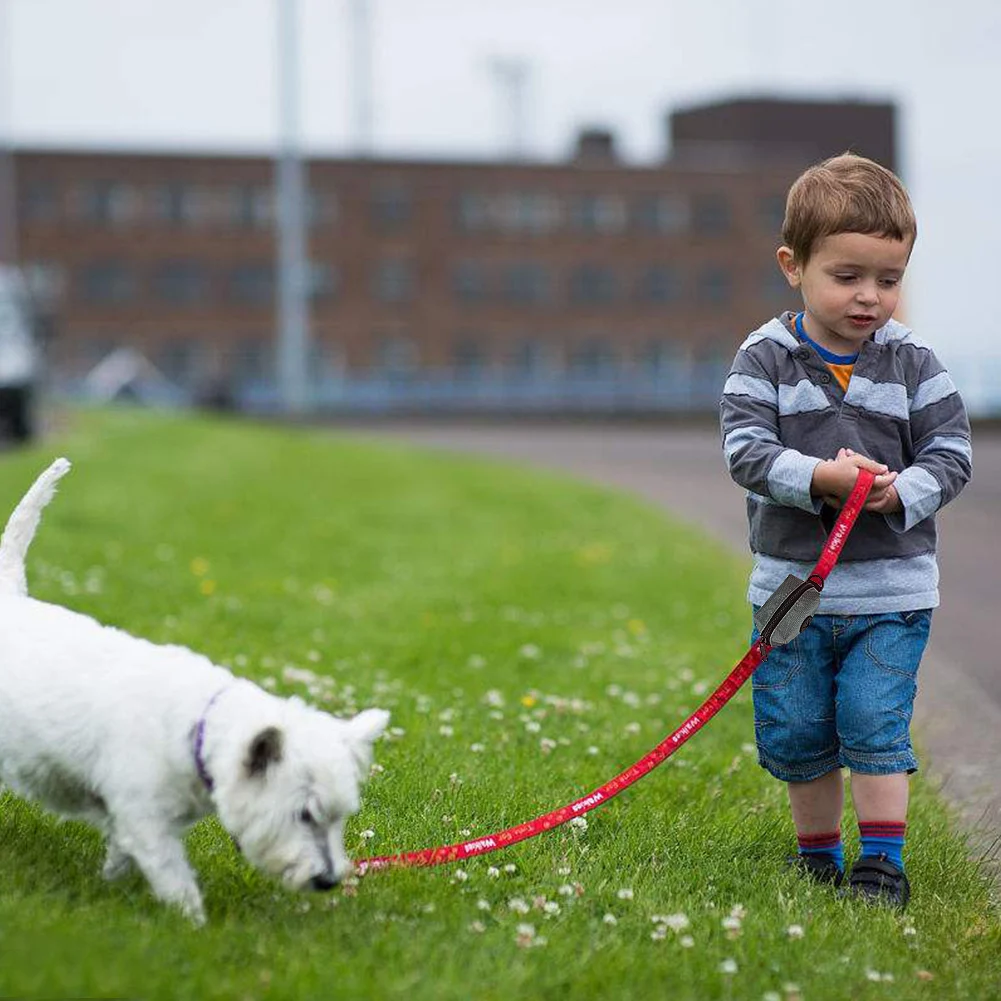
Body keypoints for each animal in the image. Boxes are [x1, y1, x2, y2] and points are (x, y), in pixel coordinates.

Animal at [0, 458, 388, 920]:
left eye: (341, 816)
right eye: (305, 815)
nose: (328, 881)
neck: (197, 728)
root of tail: (10, 594)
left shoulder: (134, 819)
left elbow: (121, 856)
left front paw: (113, 886)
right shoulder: (146, 819)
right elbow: (174, 879)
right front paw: (191, 923)